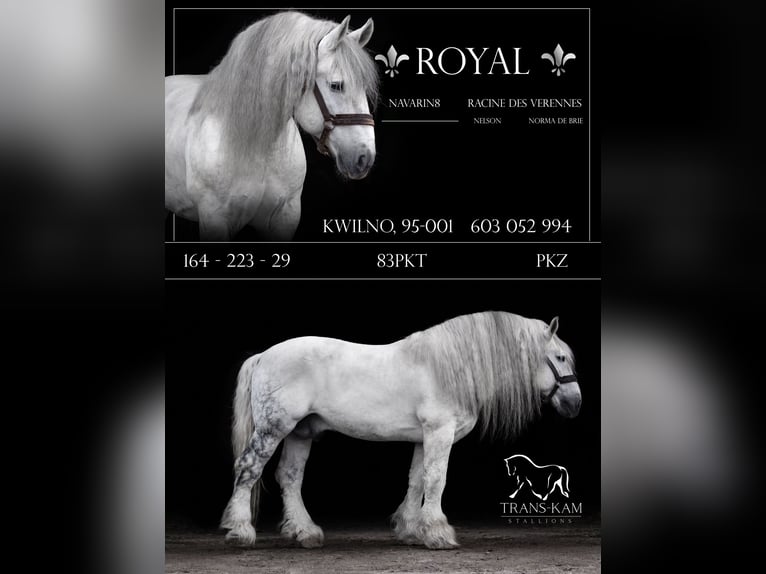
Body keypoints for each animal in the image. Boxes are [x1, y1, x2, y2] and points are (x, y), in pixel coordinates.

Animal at [219, 311, 582, 550]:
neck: (448, 368)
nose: (575, 403)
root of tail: (264, 356)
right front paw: (438, 533)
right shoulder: (439, 432)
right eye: (560, 357)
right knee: (249, 469)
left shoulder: (424, 437)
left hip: (300, 433)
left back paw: (305, 532)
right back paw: (240, 531)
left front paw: (410, 529)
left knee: (290, 477)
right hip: (273, 428)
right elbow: (437, 479)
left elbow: (417, 479)